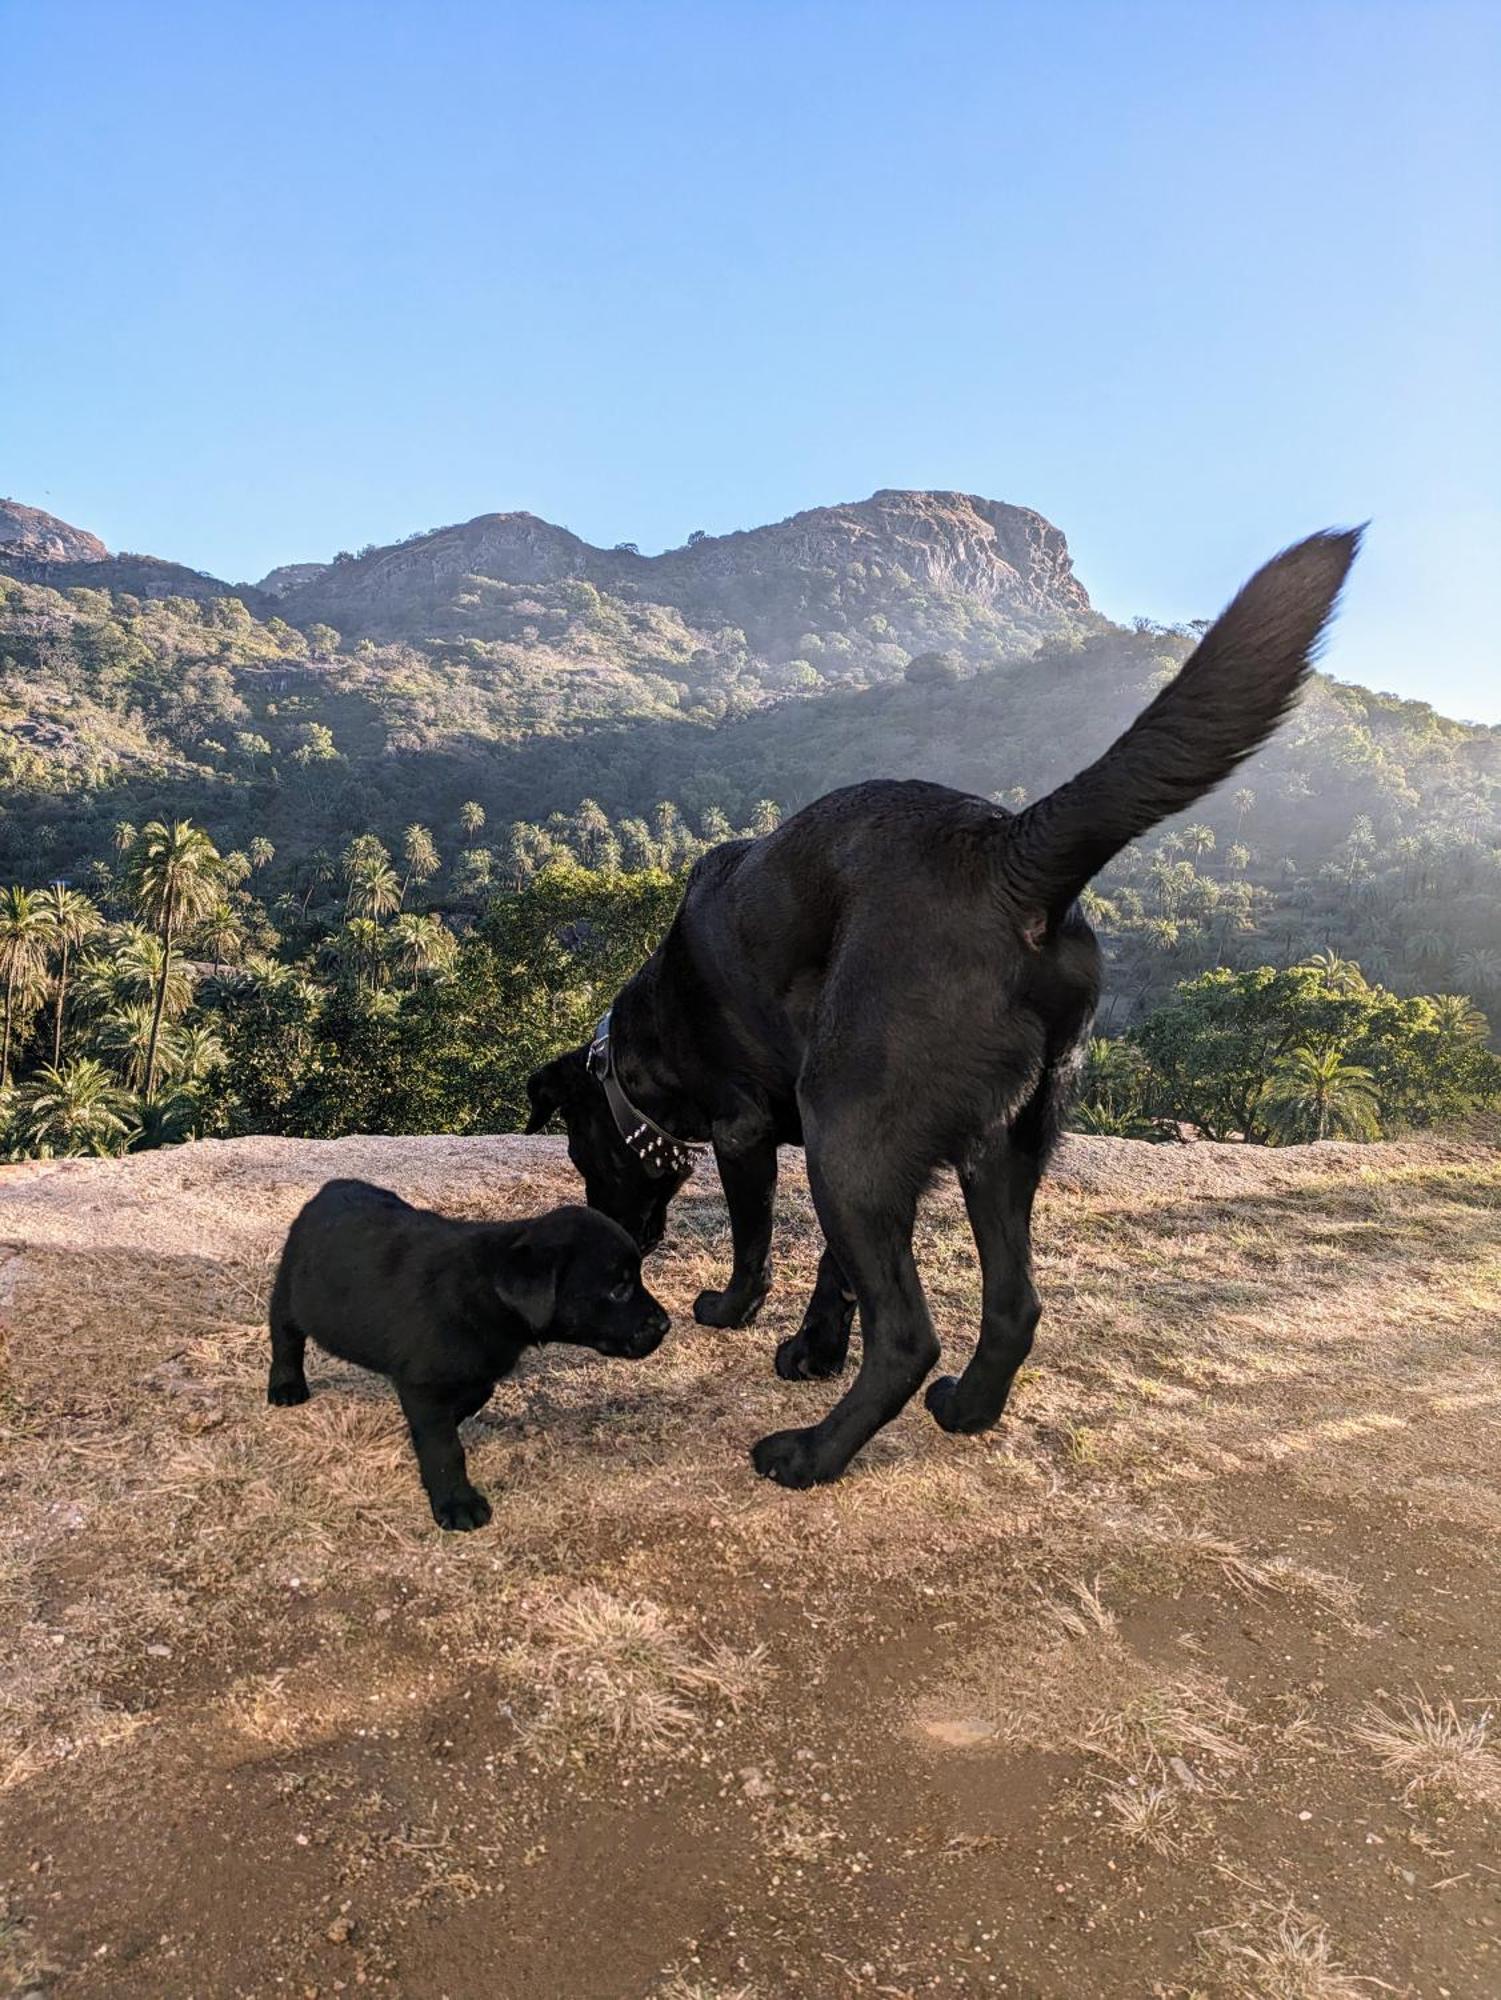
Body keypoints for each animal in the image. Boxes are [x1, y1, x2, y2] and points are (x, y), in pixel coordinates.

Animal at [268, 1184, 672, 1528]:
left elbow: (475, 1394)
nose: (665, 1324)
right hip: (288, 1295)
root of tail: (327, 1190)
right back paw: (286, 1387)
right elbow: (444, 1447)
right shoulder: (423, 1385)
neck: (485, 1291)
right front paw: (457, 1502)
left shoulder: (474, 1371)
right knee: (286, 1341)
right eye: (619, 1289)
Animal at [524, 528, 1360, 1488]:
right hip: (998, 1145)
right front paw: (813, 1349)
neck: (639, 1047)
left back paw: (811, 1453)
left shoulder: (750, 1134)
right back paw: (966, 1410)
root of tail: (1004, 852)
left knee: (908, 1338)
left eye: (582, 1155)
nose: (620, 1243)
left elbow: (756, 1246)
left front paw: (734, 1311)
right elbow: (835, 1275)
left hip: (848, 1136)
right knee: (1015, 1306)